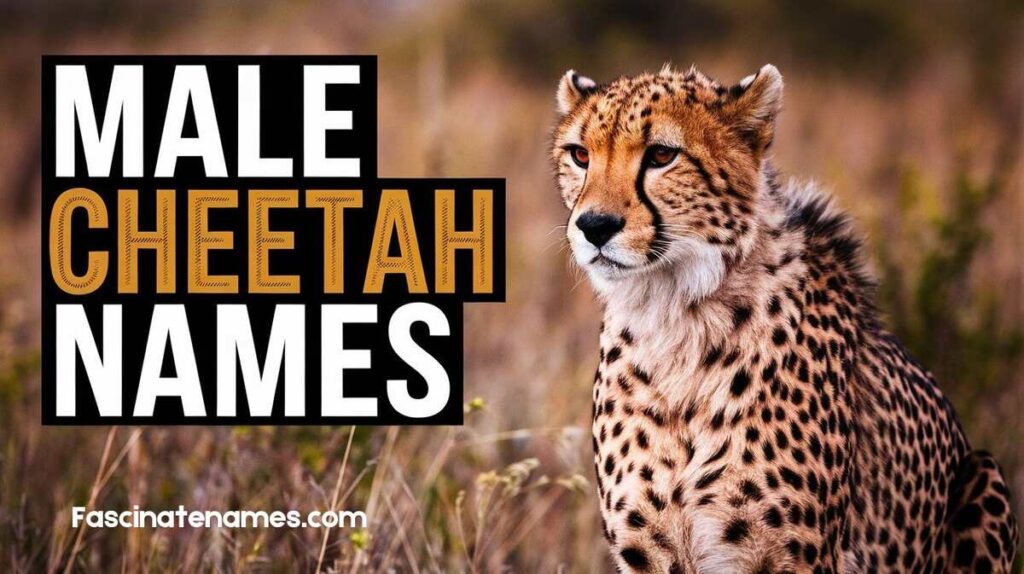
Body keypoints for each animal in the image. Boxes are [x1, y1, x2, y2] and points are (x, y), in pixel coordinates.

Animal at [550, 63, 1019, 573]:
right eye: (580, 155)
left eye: (661, 155)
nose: (594, 226)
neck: (675, 316)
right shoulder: (650, 554)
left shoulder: (792, 558)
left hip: (987, 474)